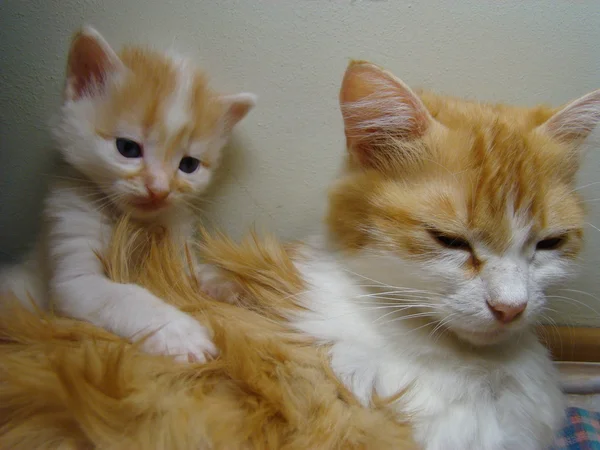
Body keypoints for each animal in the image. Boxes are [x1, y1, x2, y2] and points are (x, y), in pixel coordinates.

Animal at [0, 26, 255, 362]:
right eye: (128, 148)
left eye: (188, 165)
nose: (159, 190)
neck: (134, 222)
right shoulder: (72, 272)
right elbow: (124, 296)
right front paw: (178, 332)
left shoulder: (174, 245)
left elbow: (191, 272)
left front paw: (223, 283)